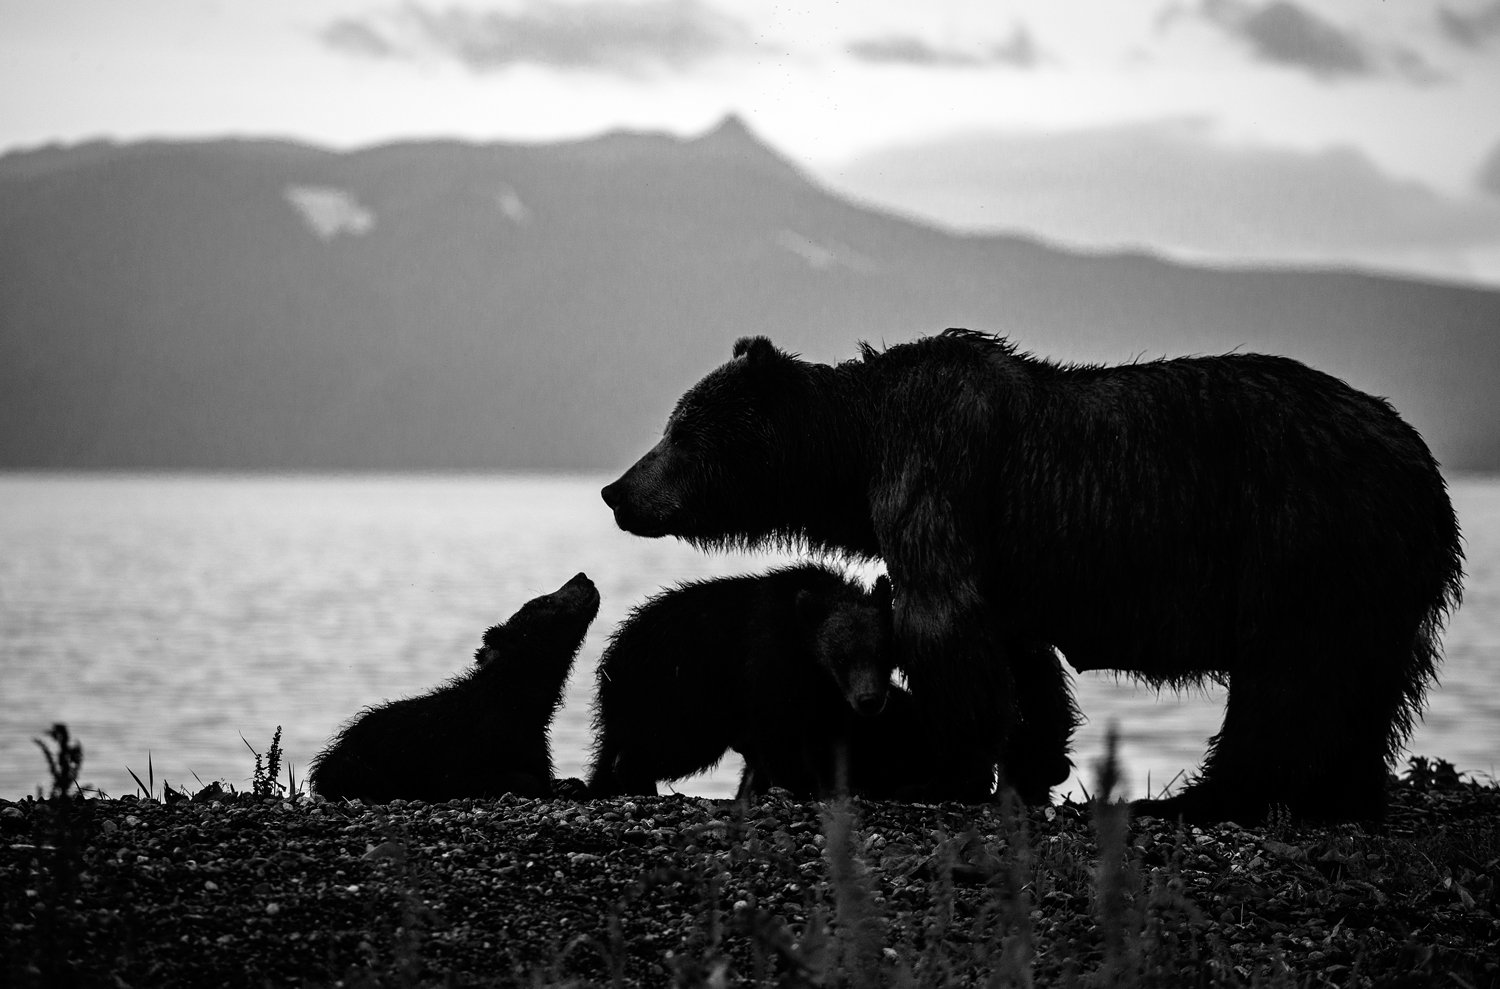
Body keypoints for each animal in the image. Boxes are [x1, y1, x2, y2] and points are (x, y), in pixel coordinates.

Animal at [600, 328, 1464, 822]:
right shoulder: (1003, 562)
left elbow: (943, 627)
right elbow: (1020, 656)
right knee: (1365, 685)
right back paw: (1343, 794)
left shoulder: (934, 474)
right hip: (1372, 578)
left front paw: (944, 767)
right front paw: (1033, 761)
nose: (615, 490)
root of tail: (1426, 469)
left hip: (1302, 536)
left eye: (679, 428)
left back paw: (1210, 797)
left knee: (1289, 680)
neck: (854, 450)